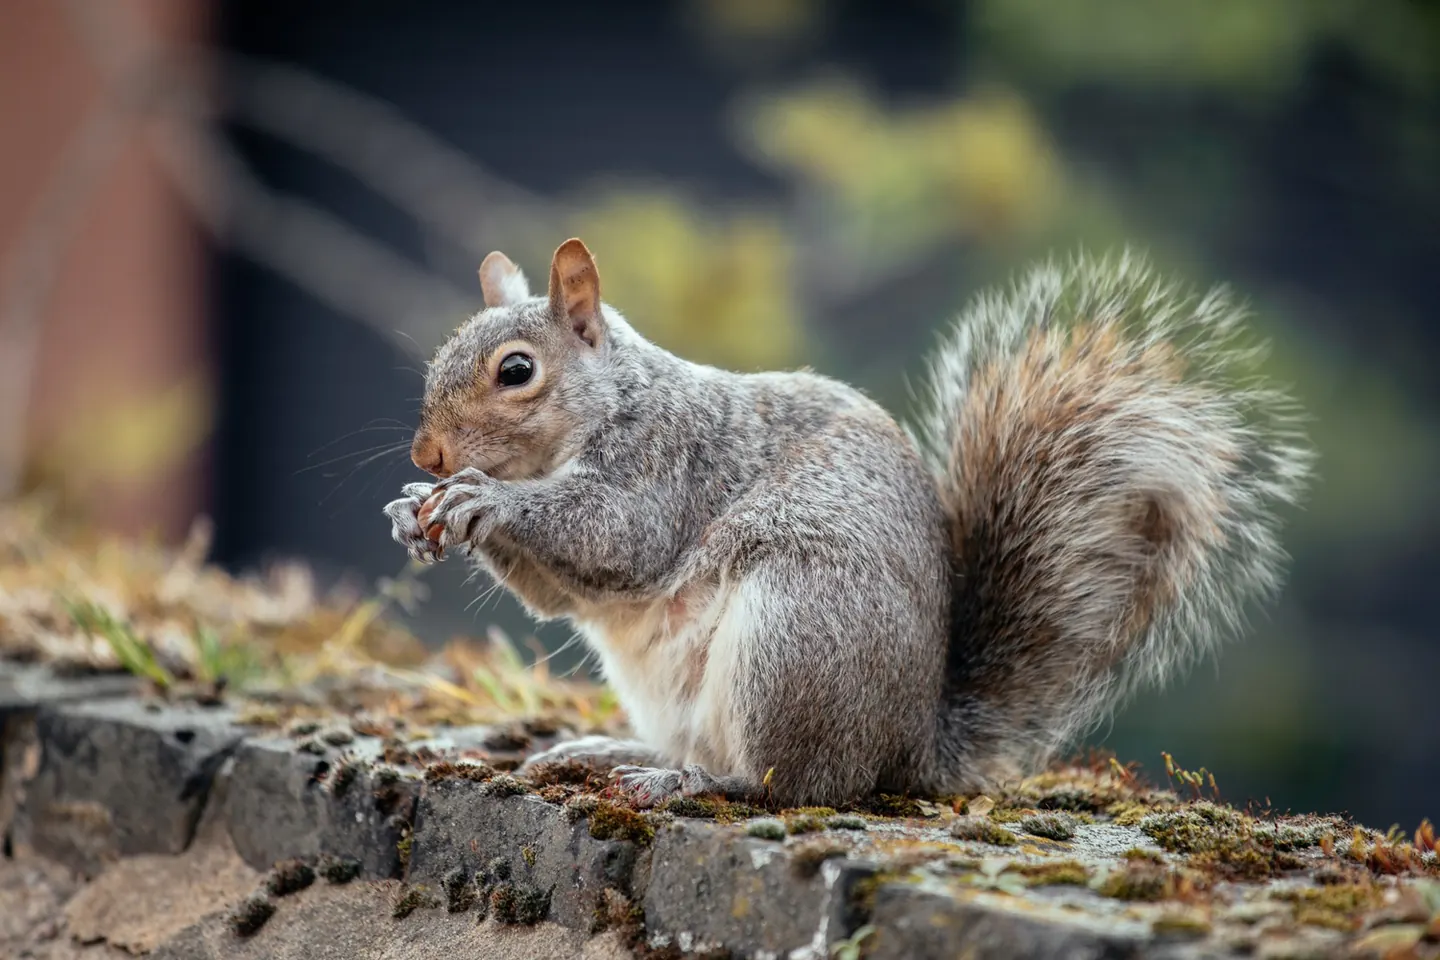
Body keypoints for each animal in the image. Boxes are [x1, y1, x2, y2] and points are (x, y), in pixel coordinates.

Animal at [384, 238, 1313, 808]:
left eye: (516, 372)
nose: (428, 454)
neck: (610, 405)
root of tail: (910, 747)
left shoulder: (667, 466)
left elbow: (613, 535)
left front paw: (482, 500)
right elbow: (557, 595)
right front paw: (409, 512)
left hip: (795, 636)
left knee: (791, 783)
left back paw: (699, 785)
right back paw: (619, 756)